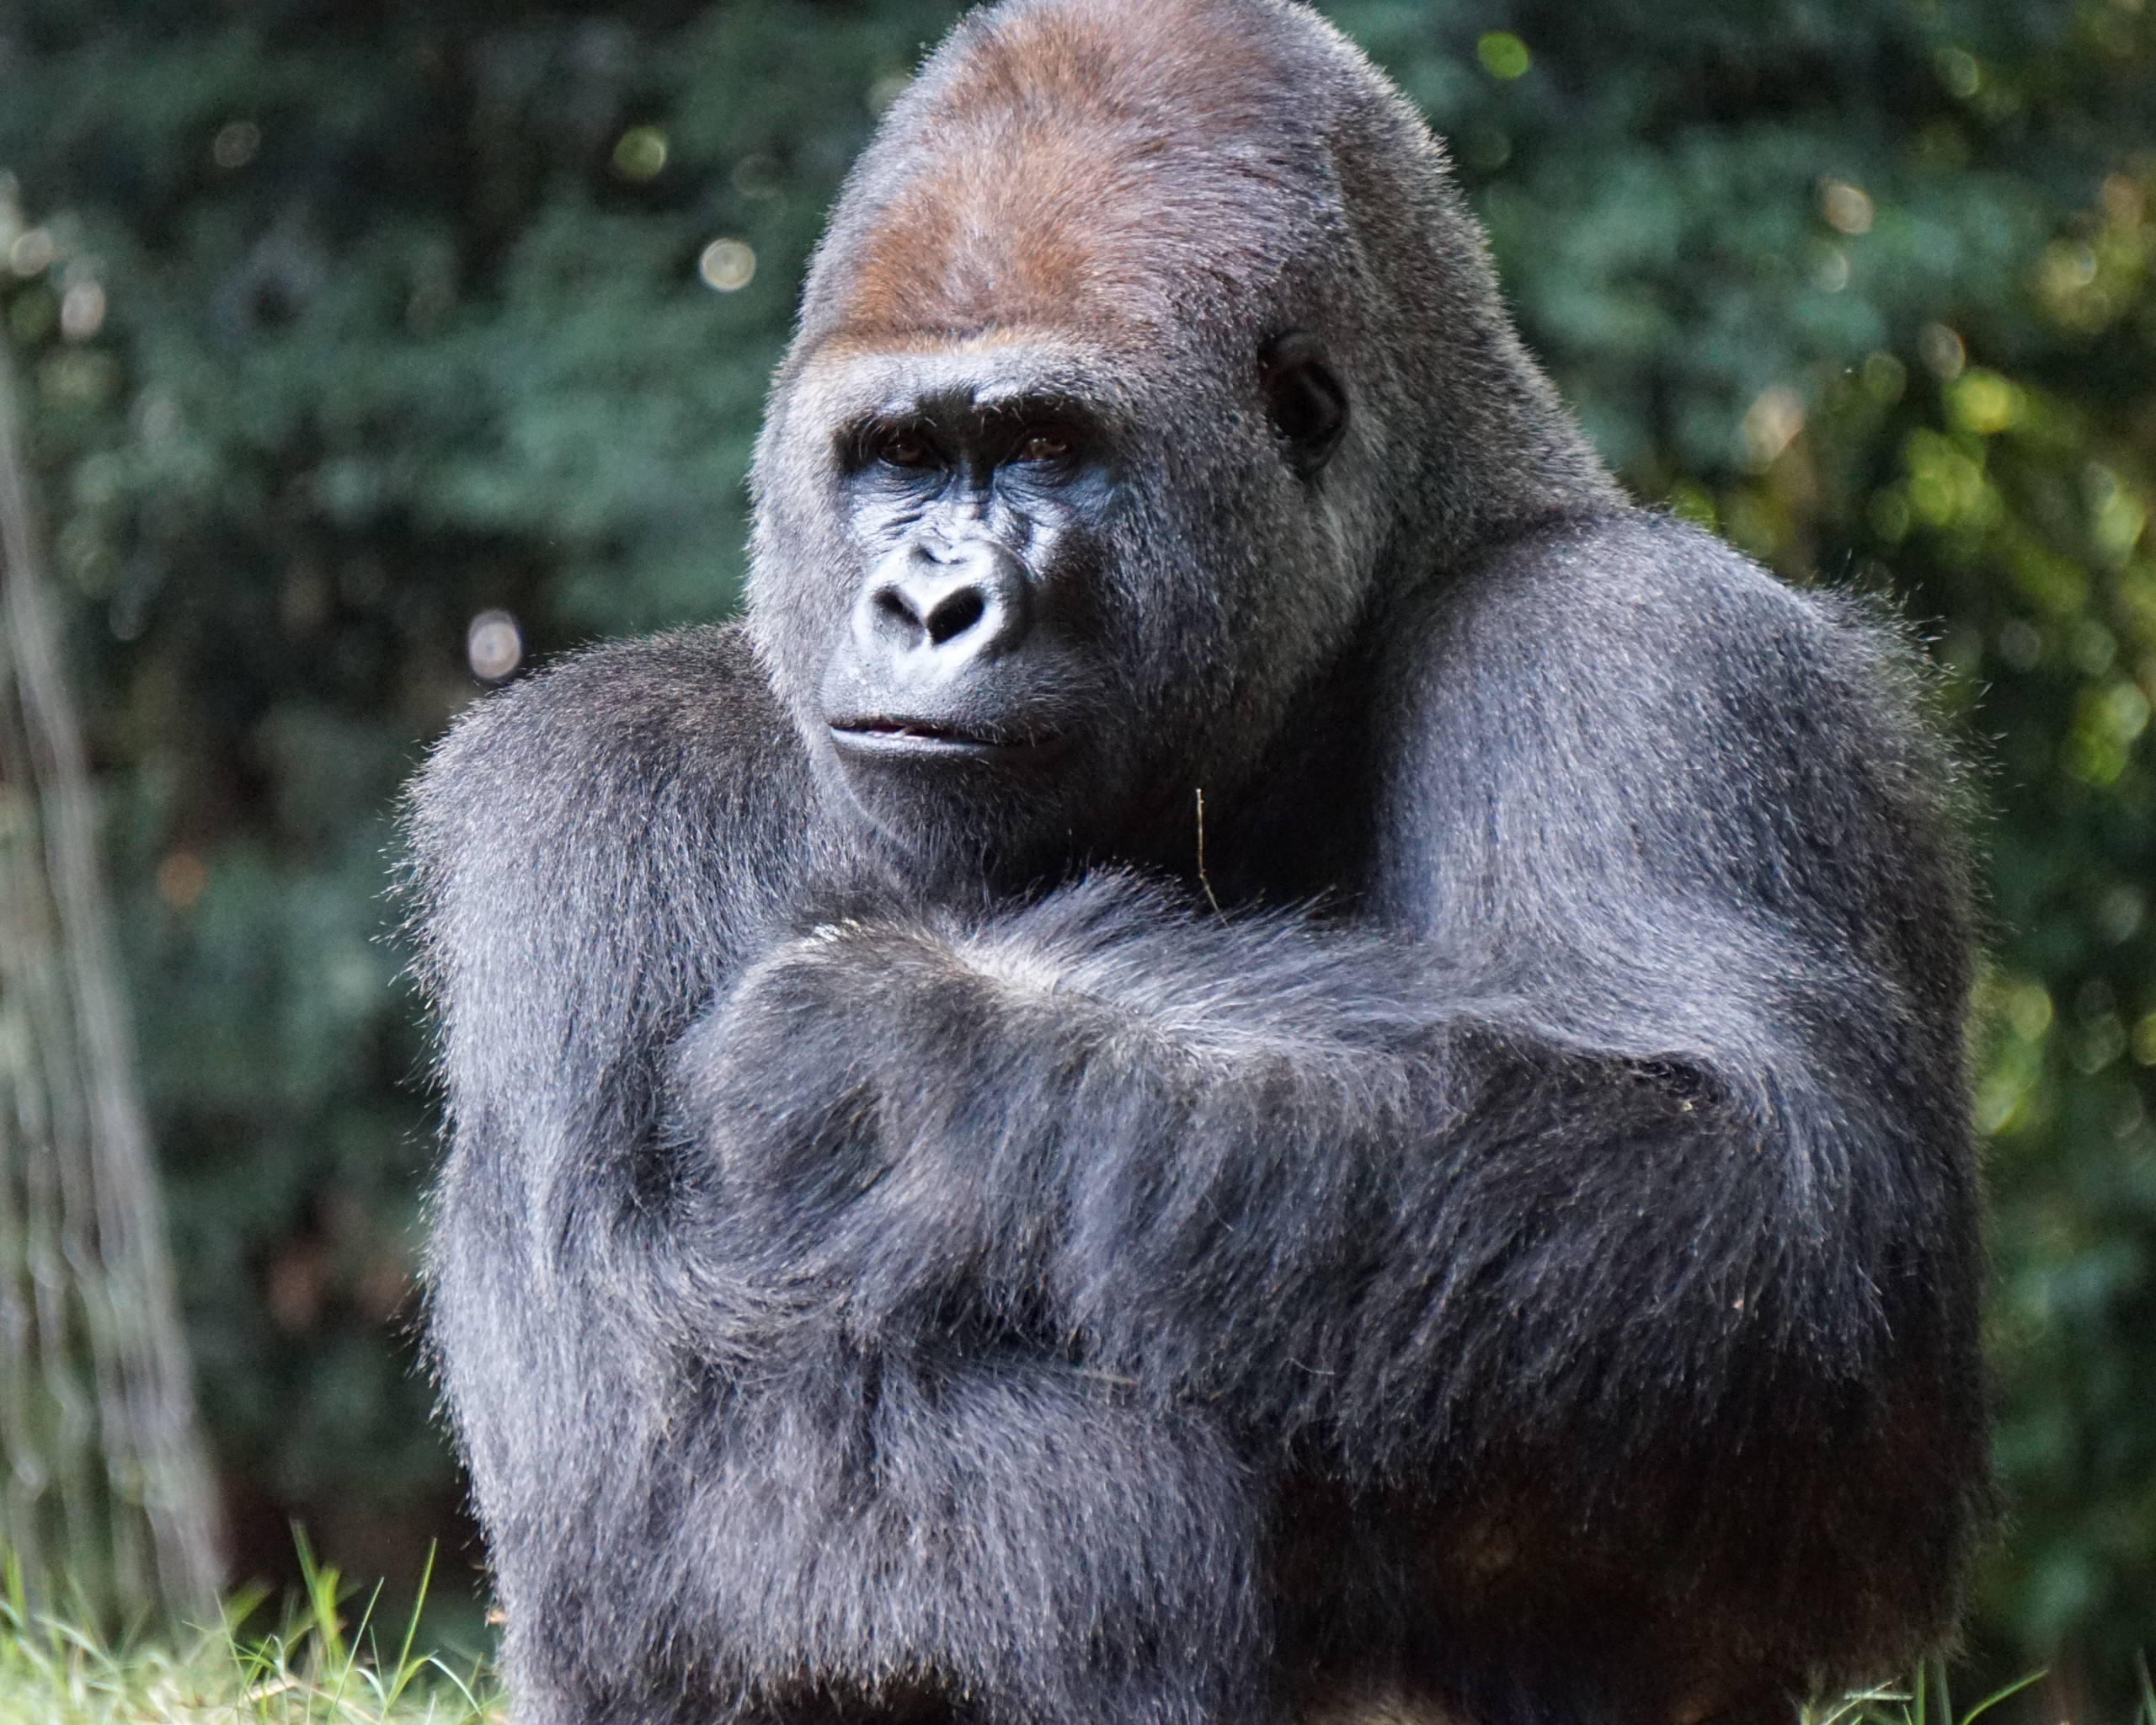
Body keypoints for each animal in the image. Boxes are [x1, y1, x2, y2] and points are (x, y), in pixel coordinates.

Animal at [403, 2, 1988, 1723]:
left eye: (1042, 442)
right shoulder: (596, 788)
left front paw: (903, 1035)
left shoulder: (1647, 649)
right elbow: (663, 1444)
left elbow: (1777, 1209)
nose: (927, 603)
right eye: (898, 454)